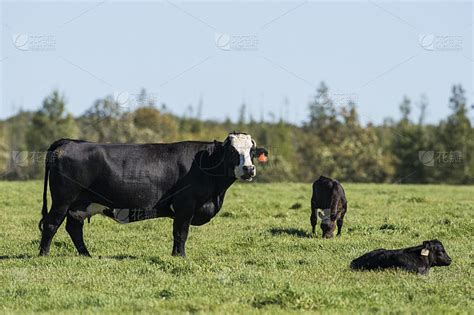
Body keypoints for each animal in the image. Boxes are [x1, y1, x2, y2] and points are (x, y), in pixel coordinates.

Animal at [38, 132, 266, 258]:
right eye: (232, 151)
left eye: (252, 152)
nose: (248, 169)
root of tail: (69, 142)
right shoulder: (185, 205)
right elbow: (180, 233)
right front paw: (179, 257)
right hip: (62, 201)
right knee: (51, 224)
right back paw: (43, 255)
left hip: (79, 205)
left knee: (73, 228)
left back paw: (86, 255)